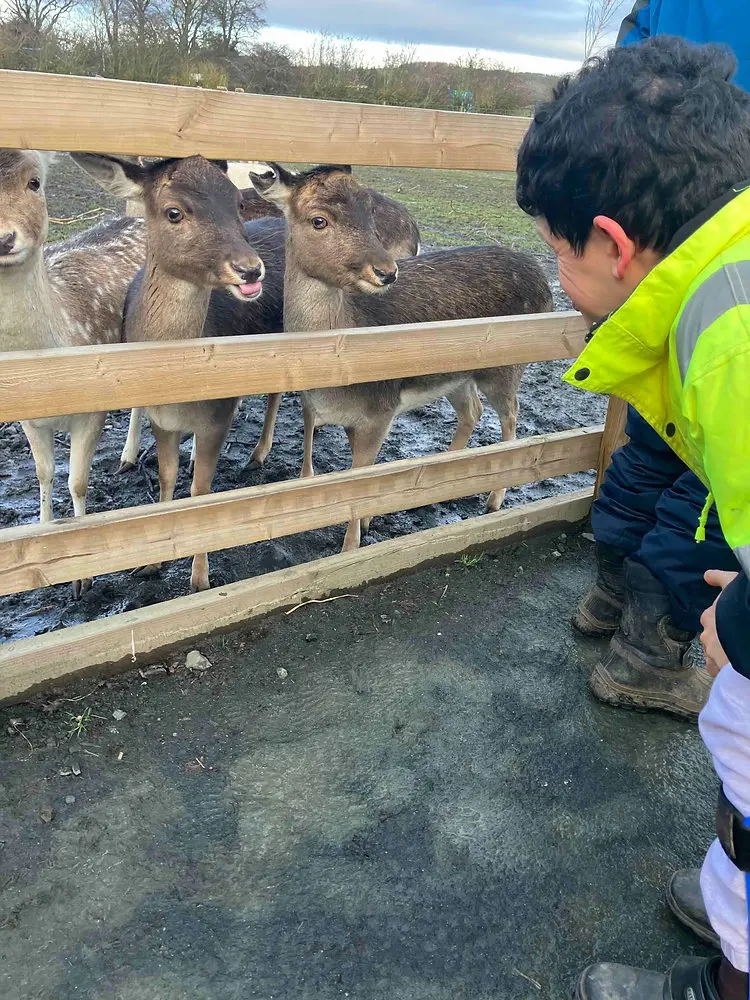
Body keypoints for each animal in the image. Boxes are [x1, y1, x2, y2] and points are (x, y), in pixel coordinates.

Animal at [0, 148, 145, 597]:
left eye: (35, 182)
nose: (3, 238)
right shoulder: (27, 419)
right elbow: (44, 475)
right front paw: (44, 537)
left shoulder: (93, 412)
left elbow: (77, 482)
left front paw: (83, 576)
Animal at [70, 153, 266, 592]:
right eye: (174, 212)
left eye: (237, 203)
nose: (250, 270)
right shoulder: (162, 418)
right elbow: (165, 476)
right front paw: (151, 564)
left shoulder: (217, 416)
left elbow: (201, 490)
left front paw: (200, 580)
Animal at [246, 162, 553, 551]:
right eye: (319, 220)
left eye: (370, 212)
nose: (387, 270)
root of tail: (545, 283)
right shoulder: (316, 406)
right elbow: (313, 463)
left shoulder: (380, 409)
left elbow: (359, 482)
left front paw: (351, 545)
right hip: (456, 377)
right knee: (473, 410)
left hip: (506, 367)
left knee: (511, 418)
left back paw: (493, 500)